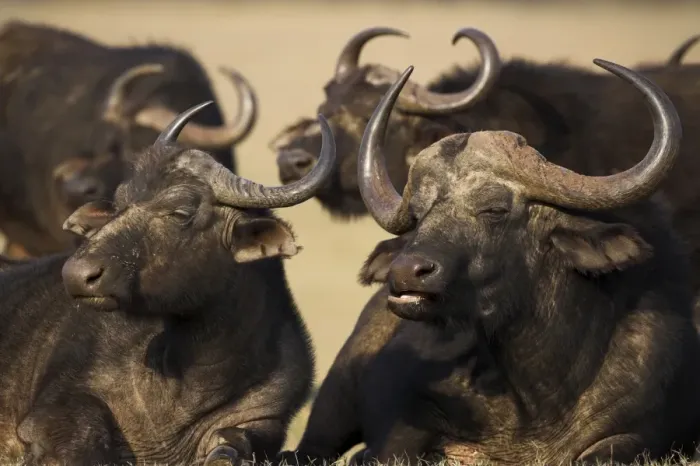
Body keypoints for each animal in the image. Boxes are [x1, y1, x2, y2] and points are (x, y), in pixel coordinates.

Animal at [0, 101, 335, 466]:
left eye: (181, 212)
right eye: (119, 204)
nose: (76, 274)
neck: (193, 372)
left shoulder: (265, 420)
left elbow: (232, 447)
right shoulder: (54, 409)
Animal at [281, 63, 700, 465]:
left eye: (494, 209)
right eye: (418, 214)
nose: (405, 272)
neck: (538, 392)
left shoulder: (639, 433)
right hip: (333, 400)